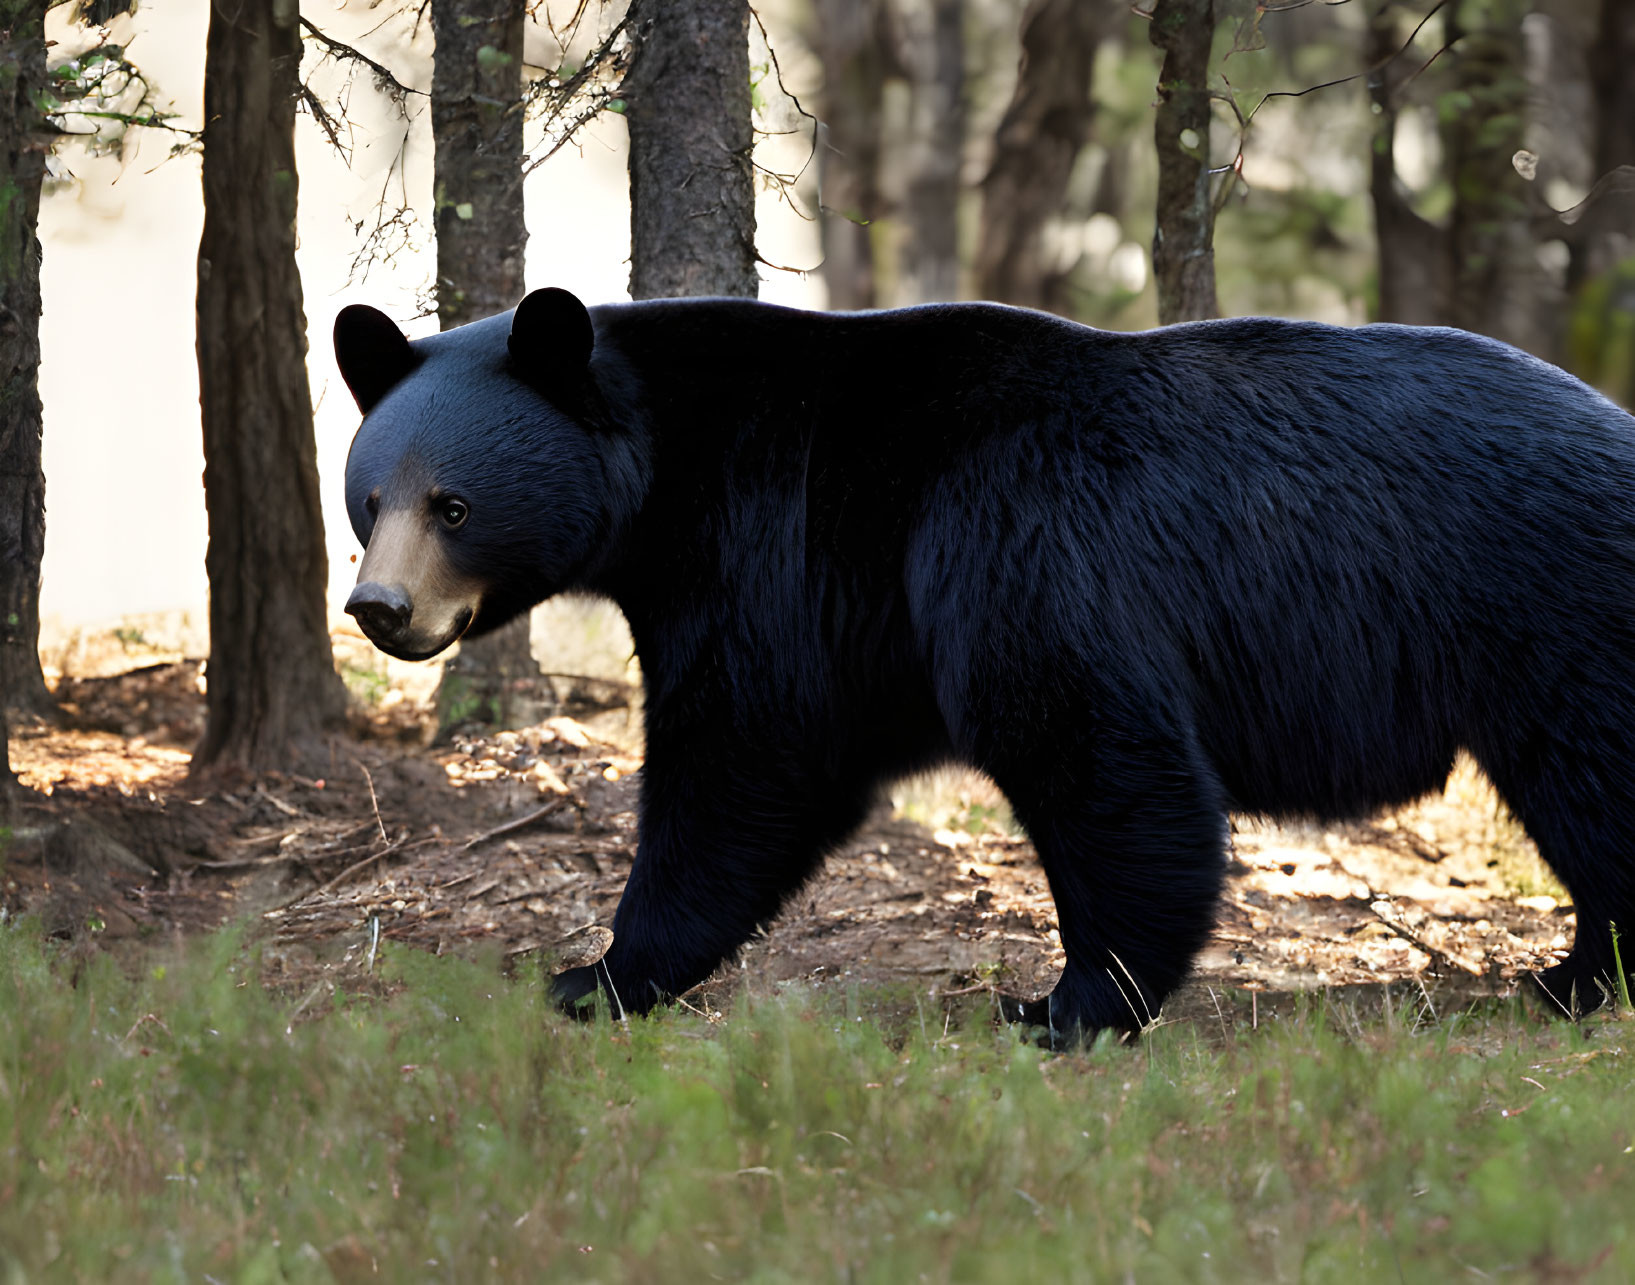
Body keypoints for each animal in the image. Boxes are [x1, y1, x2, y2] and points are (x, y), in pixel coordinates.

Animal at [335, 291, 1635, 1039]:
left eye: (453, 503)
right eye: (369, 497)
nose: (378, 608)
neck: (682, 466)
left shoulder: (944, 538)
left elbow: (1072, 745)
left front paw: (1065, 1004)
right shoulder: (846, 595)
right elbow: (789, 767)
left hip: (1552, 602)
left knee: (1598, 776)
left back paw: (1579, 979)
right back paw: (1572, 976)